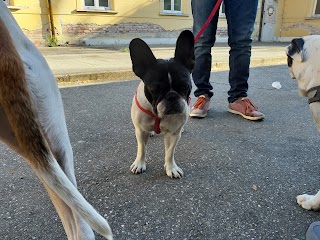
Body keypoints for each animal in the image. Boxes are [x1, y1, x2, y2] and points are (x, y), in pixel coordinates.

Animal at [129, 30, 194, 178]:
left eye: (185, 86)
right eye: (155, 89)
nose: (172, 97)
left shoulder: (173, 133)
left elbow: (170, 152)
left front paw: (171, 168)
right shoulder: (140, 131)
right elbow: (142, 148)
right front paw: (139, 164)